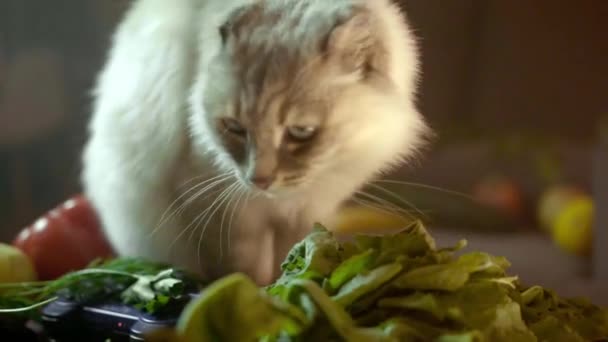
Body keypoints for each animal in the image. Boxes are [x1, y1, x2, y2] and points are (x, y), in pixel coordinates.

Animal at [83, 0, 430, 284]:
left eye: (301, 131)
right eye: (235, 128)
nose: (258, 180)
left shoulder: (305, 214)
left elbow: (293, 258)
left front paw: (285, 288)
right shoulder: (224, 211)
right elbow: (241, 272)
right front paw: (257, 295)